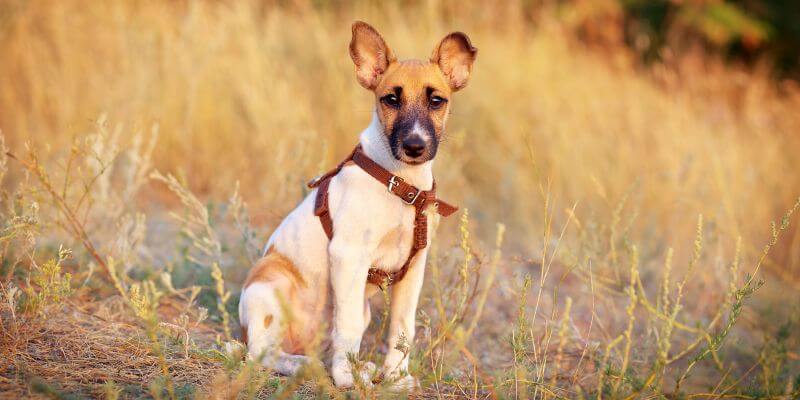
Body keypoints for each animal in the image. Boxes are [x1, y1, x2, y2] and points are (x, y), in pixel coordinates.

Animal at [238, 20, 476, 390]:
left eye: (437, 101)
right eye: (390, 99)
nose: (414, 146)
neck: (399, 183)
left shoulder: (414, 267)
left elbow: (401, 330)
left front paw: (395, 377)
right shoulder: (349, 256)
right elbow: (346, 326)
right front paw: (346, 379)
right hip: (269, 289)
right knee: (262, 354)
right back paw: (306, 366)